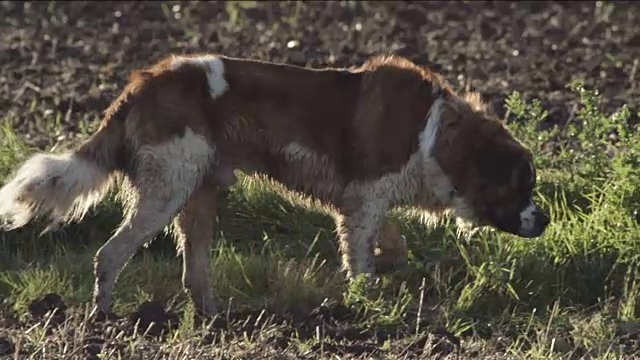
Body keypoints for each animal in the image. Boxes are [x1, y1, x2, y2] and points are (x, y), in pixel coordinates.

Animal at [0, 52, 552, 318]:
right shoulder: (363, 202)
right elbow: (364, 264)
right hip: (166, 188)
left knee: (194, 272)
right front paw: (368, 305)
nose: (544, 219)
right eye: (522, 185)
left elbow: (391, 249)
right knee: (110, 254)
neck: (434, 133)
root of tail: (141, 83)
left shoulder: (367, 206)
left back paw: (214, 319)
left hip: (199, 191)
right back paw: (105, 317)